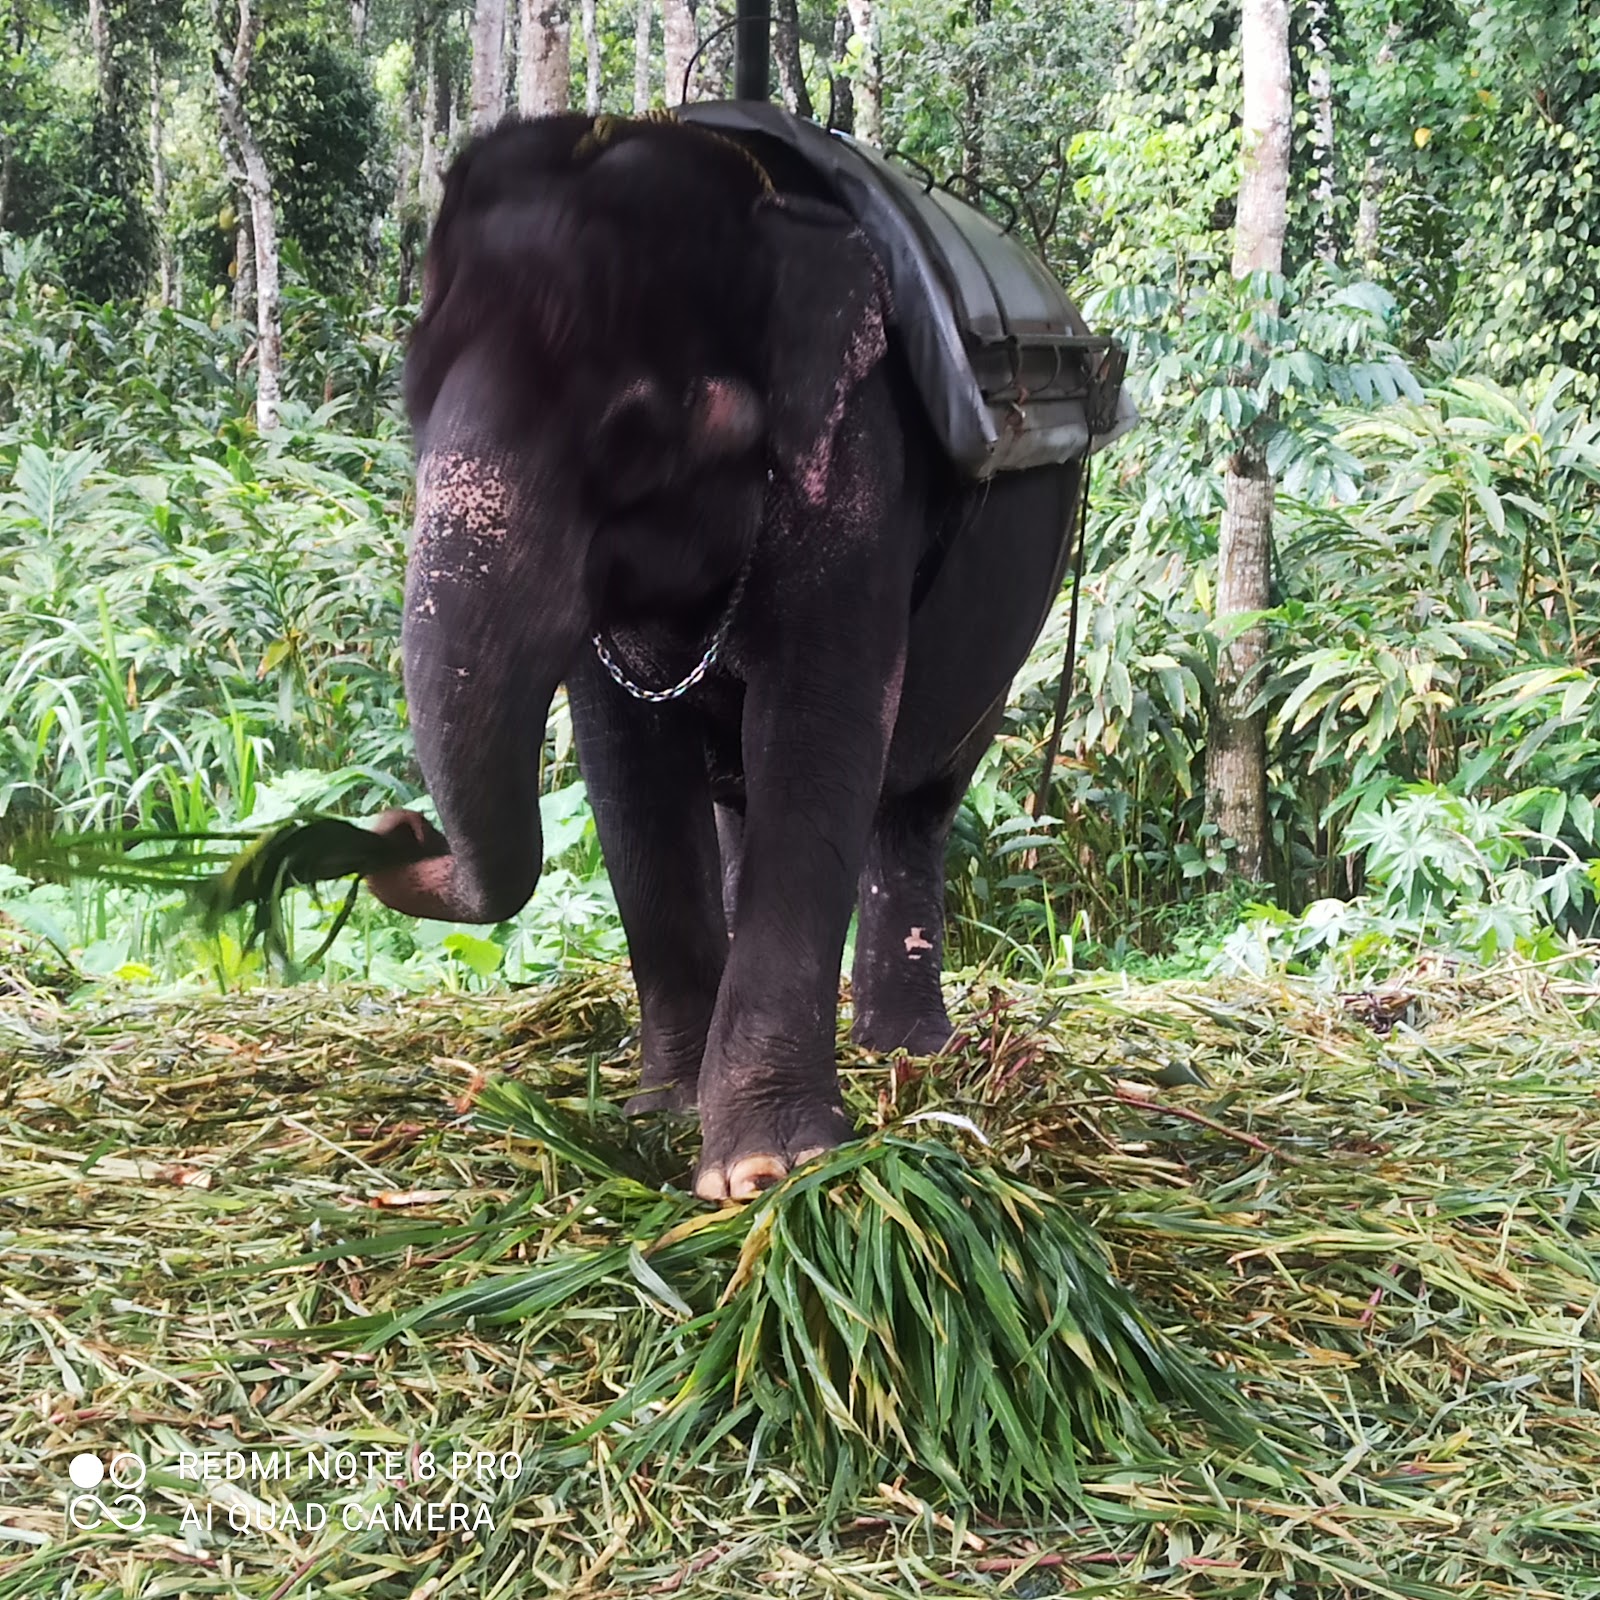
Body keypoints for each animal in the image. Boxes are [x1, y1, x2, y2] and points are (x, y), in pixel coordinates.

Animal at [366, 113, 1086, 1200]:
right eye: (409, 405)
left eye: (631, 437)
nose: (396, 825)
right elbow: (628, 766)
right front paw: (663, 1107)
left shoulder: (859, 458)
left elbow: (815, 727)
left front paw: (763, 1168)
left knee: (919, 795)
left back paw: (904, 1051)